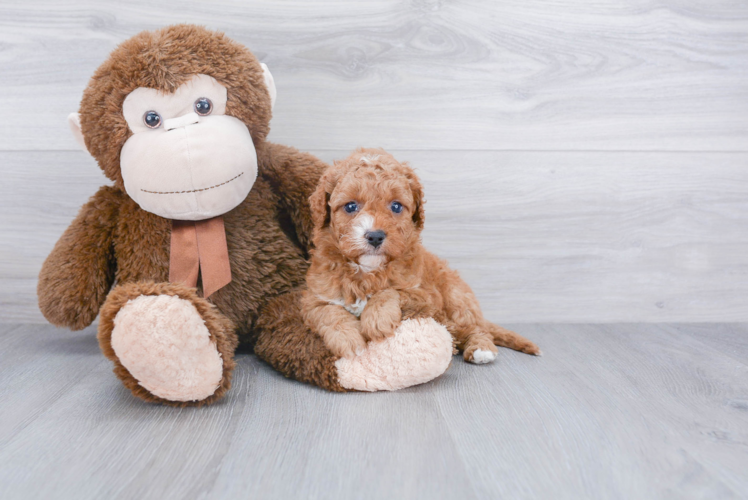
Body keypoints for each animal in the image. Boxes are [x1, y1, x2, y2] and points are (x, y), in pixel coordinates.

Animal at [300, 146, 540, 362]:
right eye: (350, 206)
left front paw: (377, 319)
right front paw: (349, 341)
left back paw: (482, 349)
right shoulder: (314, 298)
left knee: (475, 328)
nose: (375, 236)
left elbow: (391, 291)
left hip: (456, 297)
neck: (368, 271)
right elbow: (329, 312)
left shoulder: (426, 295)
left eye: (396, 206)